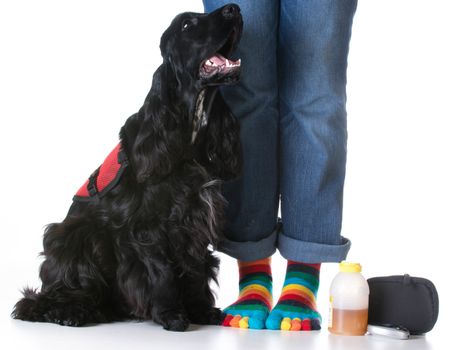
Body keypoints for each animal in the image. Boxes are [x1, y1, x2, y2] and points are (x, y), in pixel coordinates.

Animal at [12, 3, 243, 330]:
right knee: (43, 298)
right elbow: (161, 272)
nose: (234, 8)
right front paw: (172, 315)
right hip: (76, 236)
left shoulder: (196, 217)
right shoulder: (147, 226)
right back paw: (70, 312)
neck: (190, 128)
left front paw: (201, 310)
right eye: (187, 25)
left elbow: (196, 266)